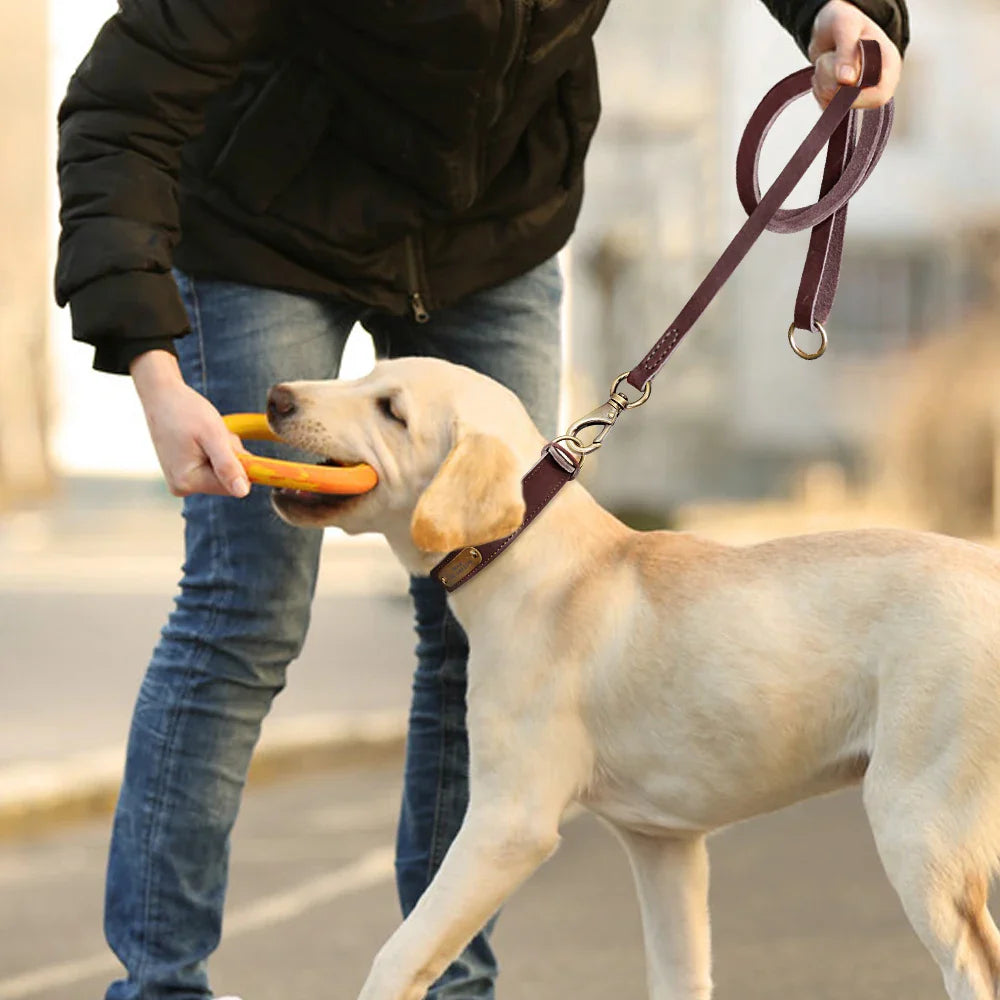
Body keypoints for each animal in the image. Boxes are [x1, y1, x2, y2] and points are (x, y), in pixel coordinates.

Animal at [270, 356, 1000, 1000]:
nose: (277, 397)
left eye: (391, 410)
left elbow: (399, 954)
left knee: (975, 970)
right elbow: (679, 976)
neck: (529, 557)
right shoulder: (664, 844)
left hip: (919, 825)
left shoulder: (508, 822)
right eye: (367, 372)